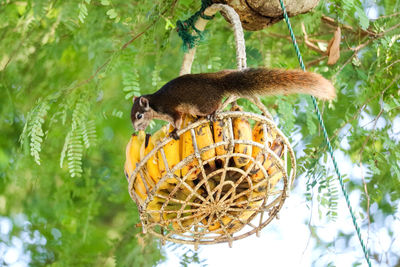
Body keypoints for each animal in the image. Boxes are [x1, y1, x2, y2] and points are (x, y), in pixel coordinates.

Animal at [131, 67, 334, 138]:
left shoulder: (170, 109)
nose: (135, 130)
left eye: (139, 115)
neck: (154, 104)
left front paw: (174, 131)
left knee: (214, 106)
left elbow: (178, 120)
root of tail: (219, 83)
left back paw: (214, 112)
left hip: (203, 104)